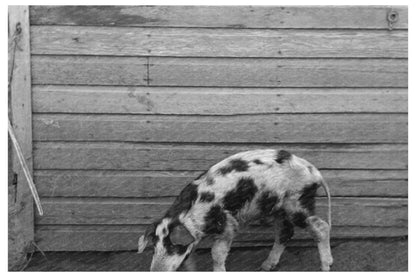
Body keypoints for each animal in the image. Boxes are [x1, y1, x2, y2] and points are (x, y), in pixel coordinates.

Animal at [138, 149, 334, 270]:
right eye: (154, 246)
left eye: (172, 246)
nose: (156, 271)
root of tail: (315, 172)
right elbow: (190, 259)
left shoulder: (228, 224)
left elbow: (217, 254)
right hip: (277, 209)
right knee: (285, 232)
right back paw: (265, 267)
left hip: (297, 201)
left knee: (321, 226)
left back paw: (326, 267)